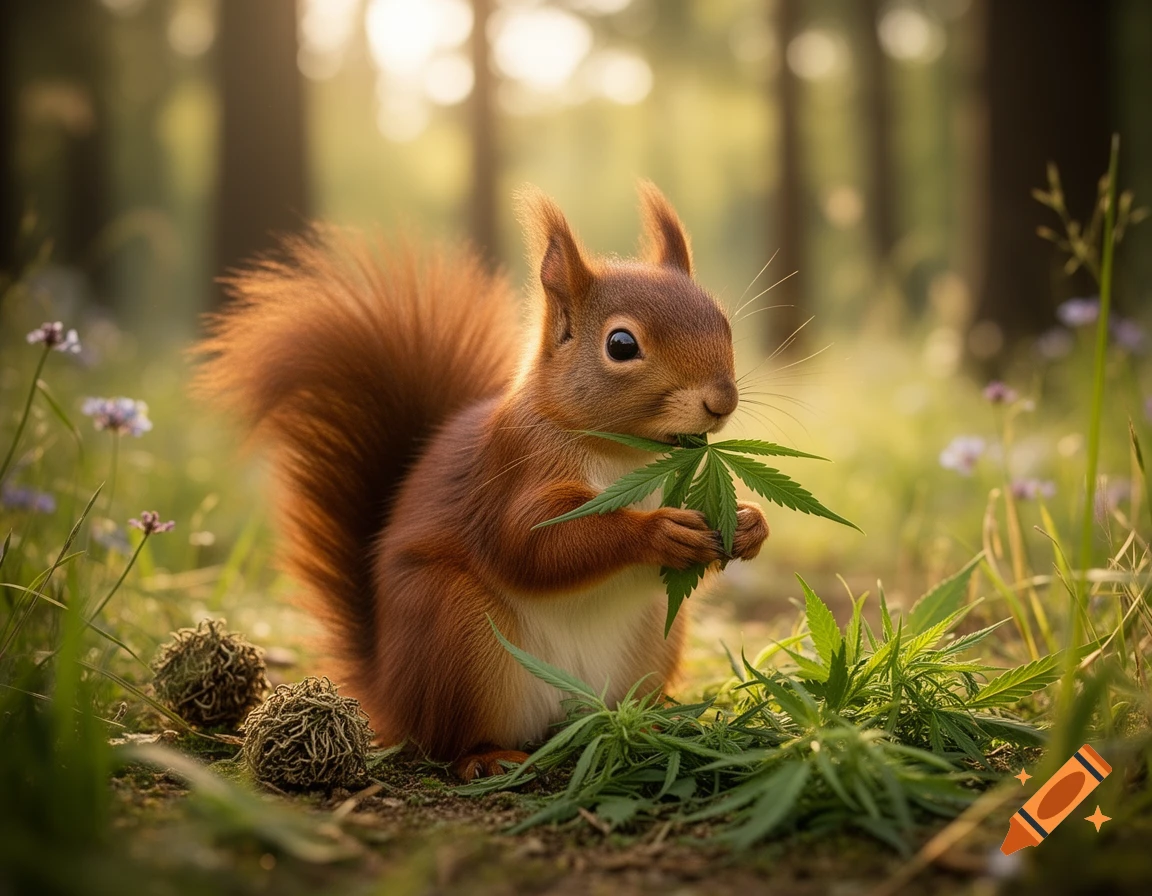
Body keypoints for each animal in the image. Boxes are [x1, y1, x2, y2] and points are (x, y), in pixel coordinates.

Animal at [195, 183, 769, 780]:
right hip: (457, 631)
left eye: (722, 320)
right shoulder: (512, 474)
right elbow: (531, 546)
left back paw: (653, 727)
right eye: (621, 345)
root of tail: (391, 696)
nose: (722, 400)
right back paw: (488, 756)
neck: (630, 456)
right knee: (447, 742)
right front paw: (658, 532)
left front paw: (751, 524)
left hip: (654, 640)